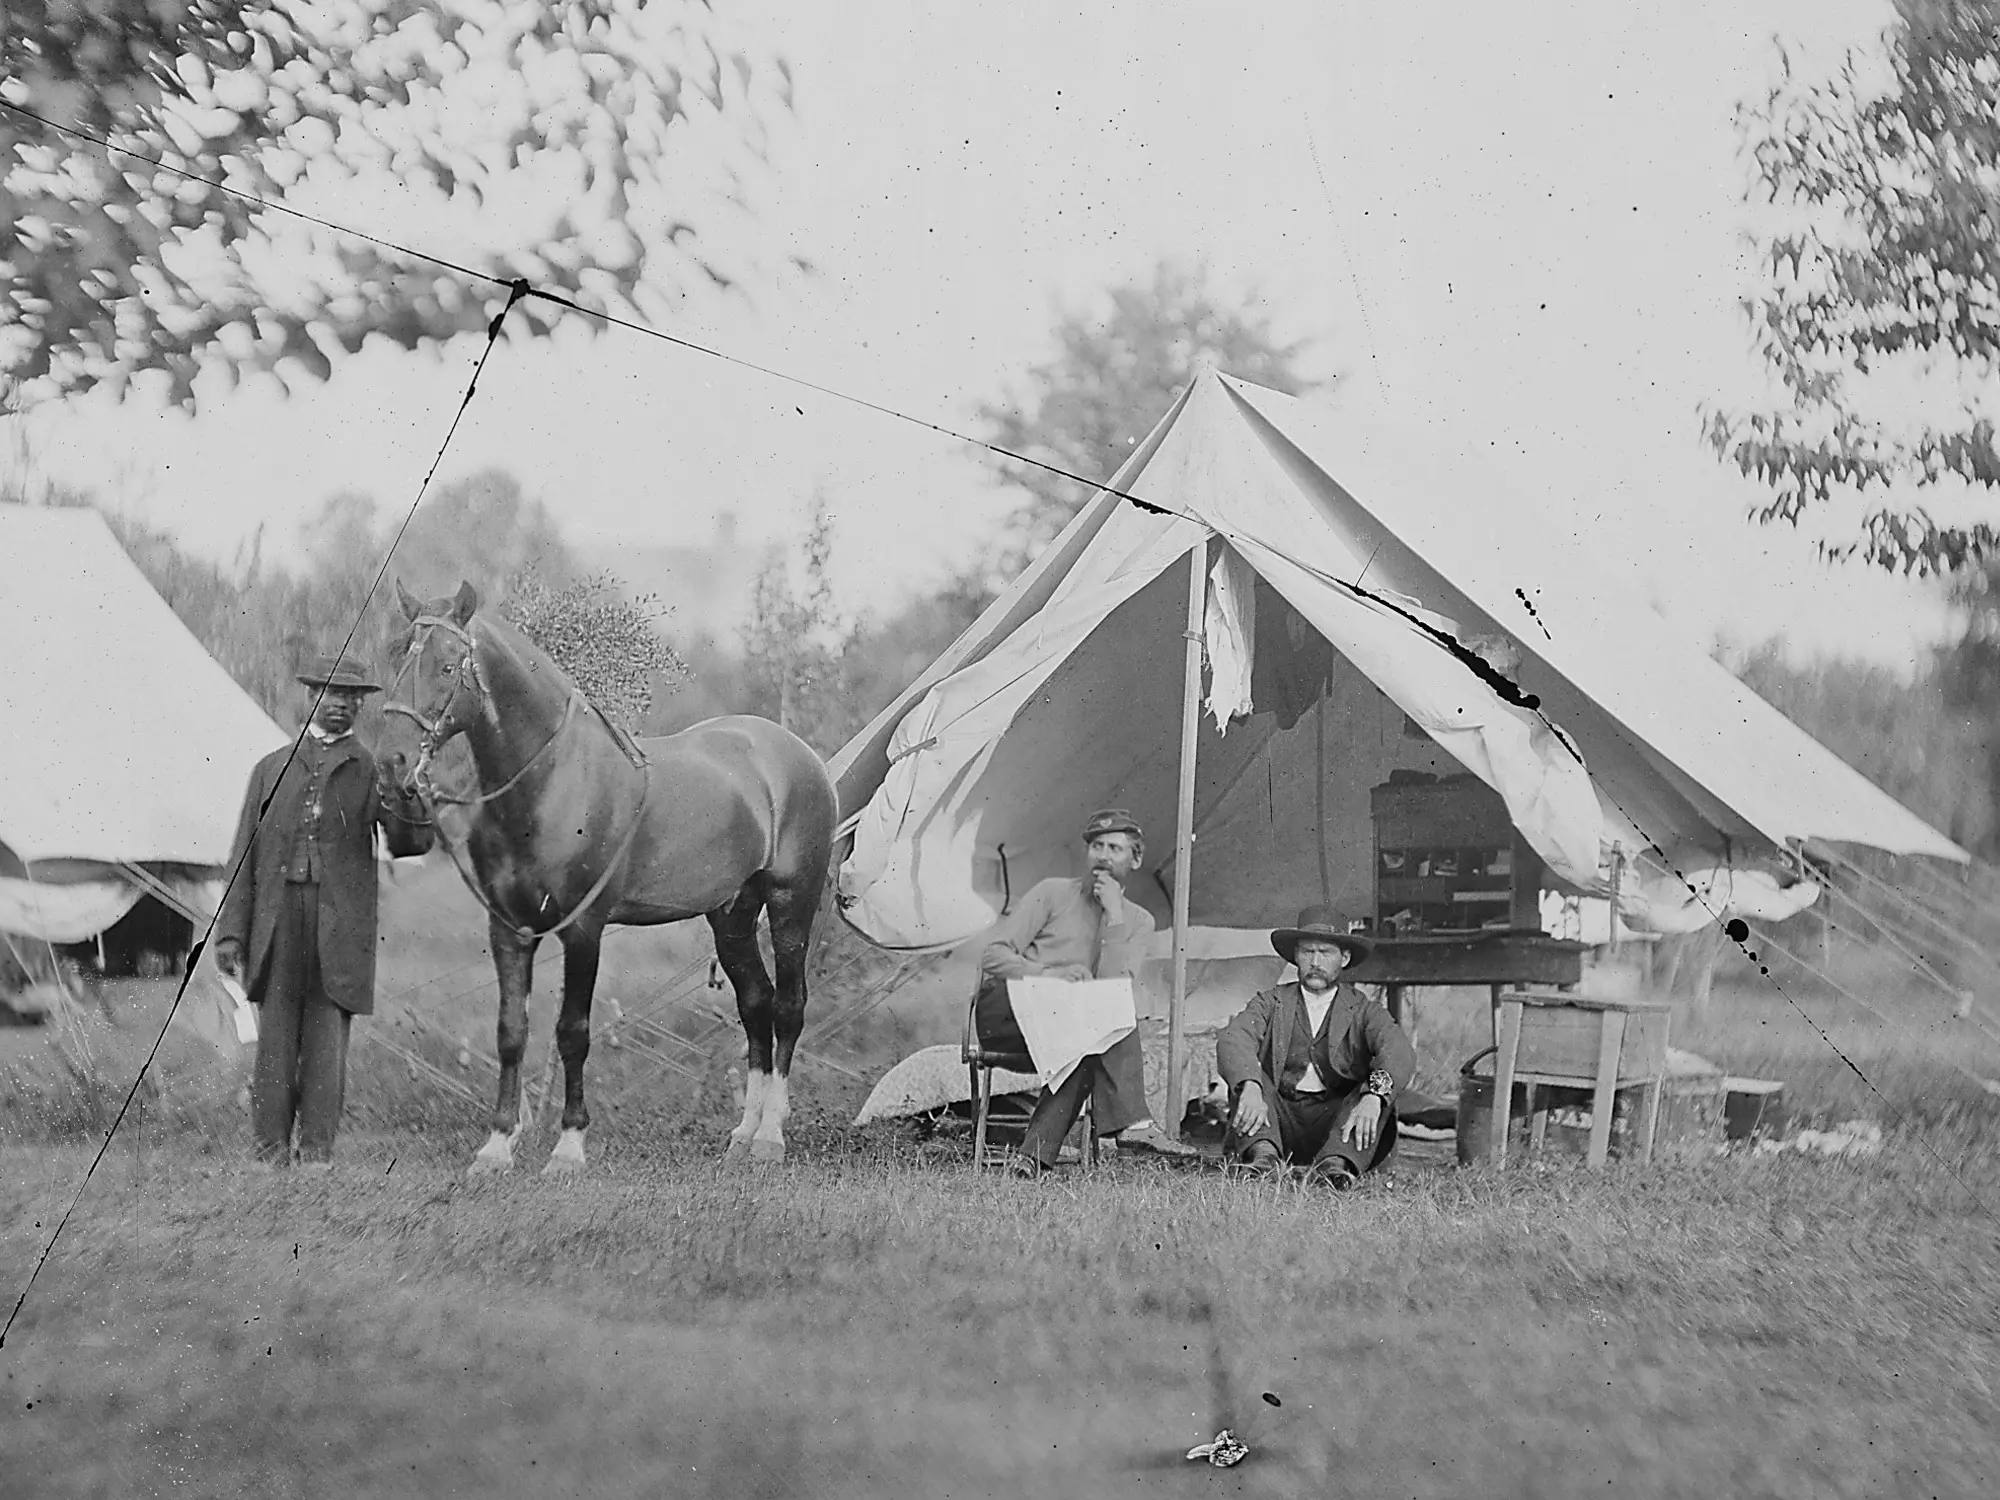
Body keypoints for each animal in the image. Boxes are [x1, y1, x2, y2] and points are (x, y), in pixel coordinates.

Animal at [390, 580, 836, 1184]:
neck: (553, 782)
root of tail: (799, 757)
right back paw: (743, 1135)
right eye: (397, 655)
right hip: (732, 917)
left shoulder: (583, 930)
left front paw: (568, 1148)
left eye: (445, 664)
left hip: (792, 902)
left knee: (788, 1006)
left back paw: (769, 1138)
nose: (393, 765)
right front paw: (496, 1147)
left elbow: (572, 1032)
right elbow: (511, 1032)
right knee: (756, 1004)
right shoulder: (508, 928)